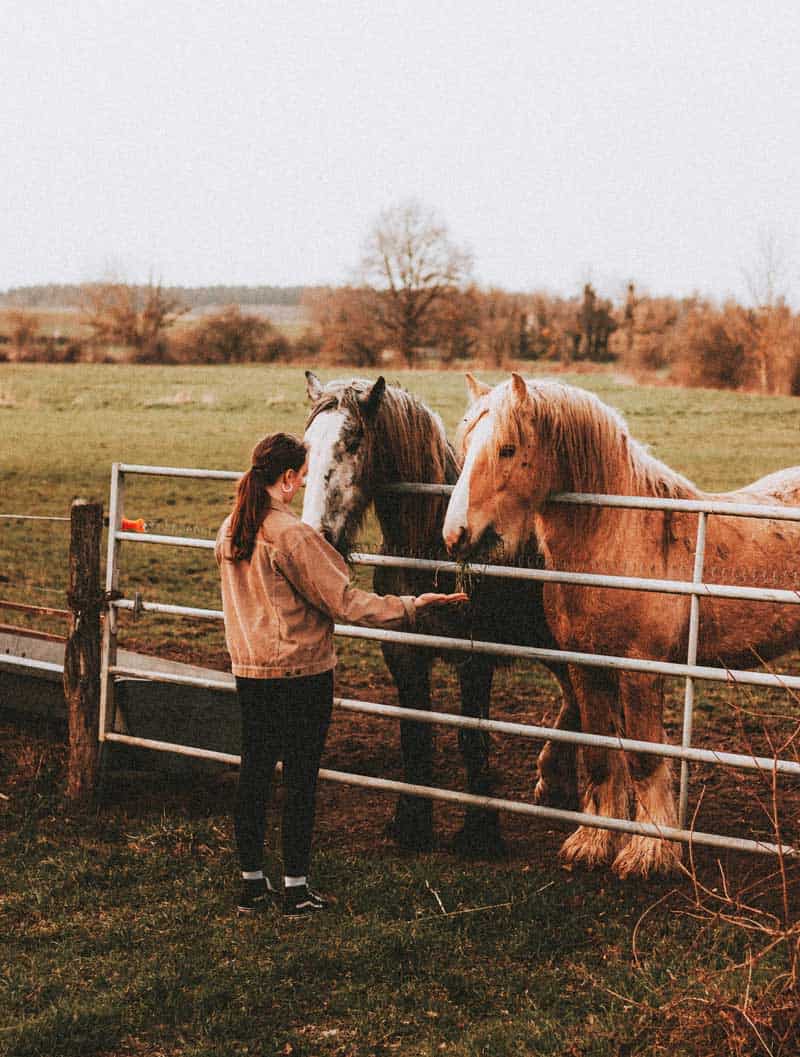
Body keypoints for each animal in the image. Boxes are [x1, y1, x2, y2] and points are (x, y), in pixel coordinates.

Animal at [300, 372, 574, 858]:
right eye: (307, 444)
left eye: (353, 441)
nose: (317, 534)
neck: (429, 548)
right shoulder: (403, 652)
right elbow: (415, 733)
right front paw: (412, 823)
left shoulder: (474, 659)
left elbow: (471, 737)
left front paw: (481, 833)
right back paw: (557, 784)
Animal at [439, 372, 798, 875]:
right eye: (467, 443)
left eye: (507, 448)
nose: (456, 536)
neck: (618, 539)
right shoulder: (586, 667)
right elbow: (599, 755)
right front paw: (593, 842)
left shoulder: (640, 671)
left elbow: (645, 758)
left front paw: (650, 851)